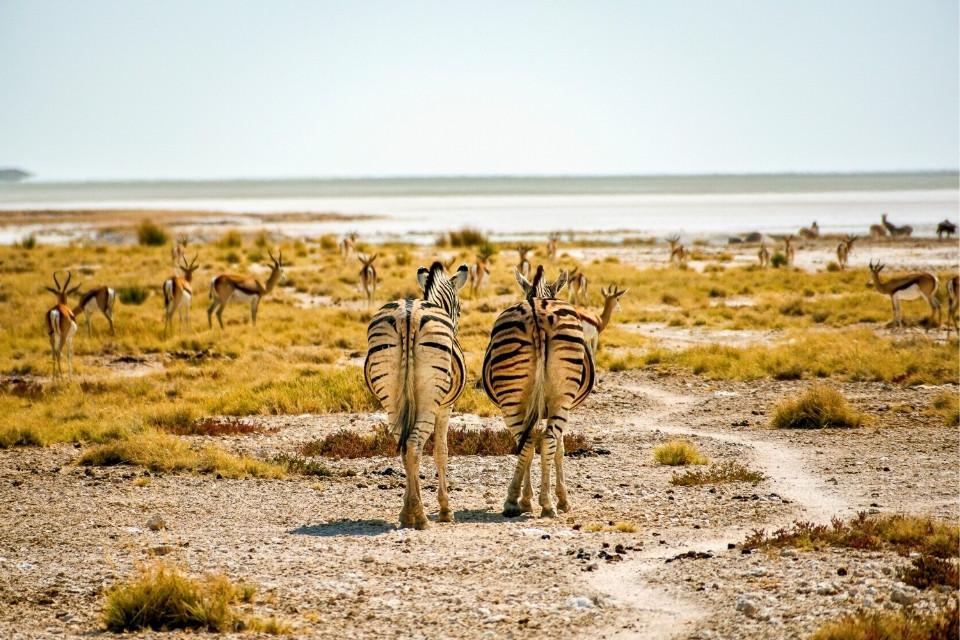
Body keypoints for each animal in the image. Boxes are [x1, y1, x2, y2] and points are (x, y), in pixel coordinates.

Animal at [363, 261, 469, 529]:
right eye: (460, 308)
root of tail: (408, 316)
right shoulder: (446, 408)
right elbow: (441, 452)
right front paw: (445, 510)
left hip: (391, 395)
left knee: (404, 446)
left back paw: (409, 512)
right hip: (431, 398)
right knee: (413, 444)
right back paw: (419, 516)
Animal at [482, 265, 595, 518]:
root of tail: (537, 312)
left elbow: (540, 445)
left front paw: (532, 499)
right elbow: (559, 449)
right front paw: (561, 499)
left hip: (515, 398)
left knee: (530, 442)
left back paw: (521, 502)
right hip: (560, 398)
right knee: (545, 440)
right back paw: (537, 503)